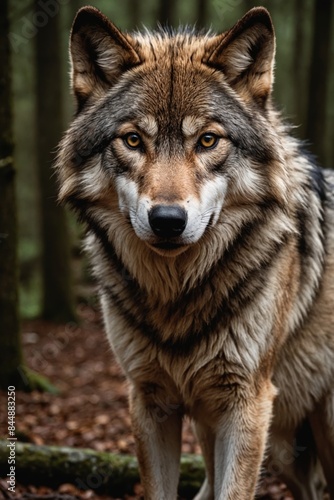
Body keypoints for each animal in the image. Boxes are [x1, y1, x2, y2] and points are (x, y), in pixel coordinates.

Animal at [56, 4, 334, 500]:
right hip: (266, 444)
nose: (167, 219)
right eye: (133, 140)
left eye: (207, 140)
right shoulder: (149, 400)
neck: (178, 297)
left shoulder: (247, 403)